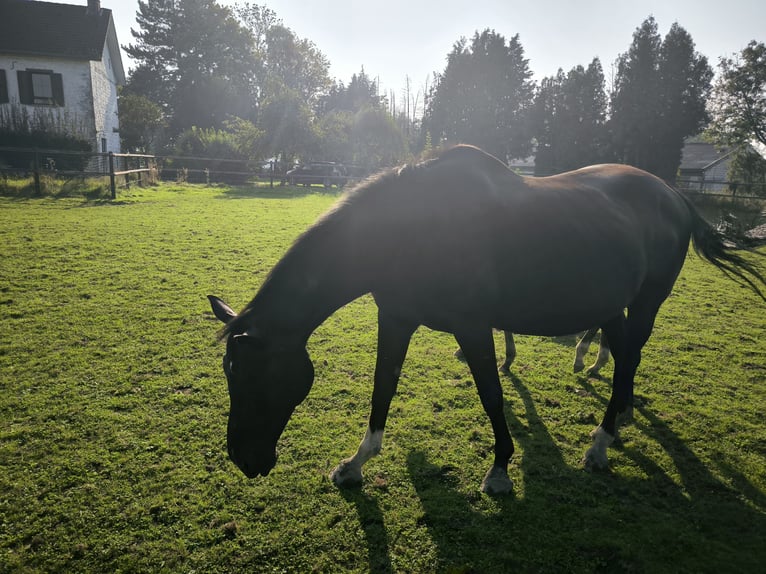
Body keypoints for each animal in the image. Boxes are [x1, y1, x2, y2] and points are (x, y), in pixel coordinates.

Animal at [207, 144, 764, 496]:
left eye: (254, 378)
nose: (245, 460)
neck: (409, 227)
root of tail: (674, 195)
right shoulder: (397, 318)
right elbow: (382, 388)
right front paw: (354, 465)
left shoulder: (473, 327)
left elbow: (492, 394)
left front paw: (499, 472)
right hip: (612, 305)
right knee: (625, 355)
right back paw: (618, 417)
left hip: (648, 301)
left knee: (630, 357)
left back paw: (600, 445)